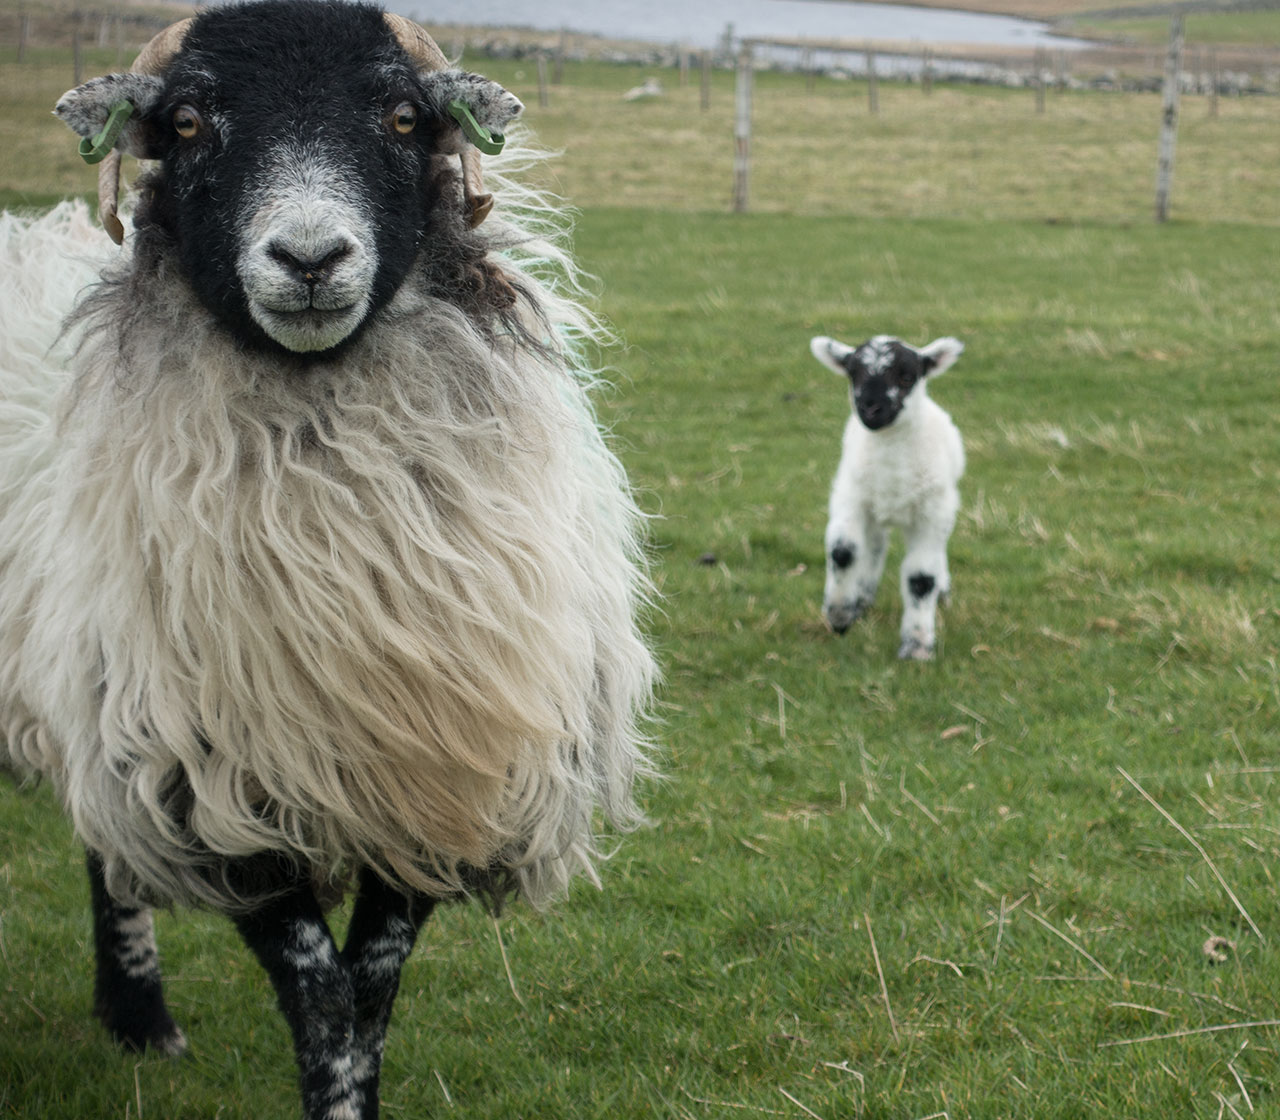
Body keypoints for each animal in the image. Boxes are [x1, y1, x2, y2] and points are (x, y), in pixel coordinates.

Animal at [0, 4, 655, 1116]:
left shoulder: (434, 779)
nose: (310, 257)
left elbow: (371, 990)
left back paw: (139, 1023)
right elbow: (321, 996)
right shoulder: (218, 787)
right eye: (184, 122)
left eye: (401, 116)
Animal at [814, 337, 962, 660]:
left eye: (907, 377)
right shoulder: (850, 497)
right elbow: (843, 552)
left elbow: (921, 577)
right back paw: (862, 597)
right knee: (874, 546)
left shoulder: (930, 514)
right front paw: (839, 616)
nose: (871, 408)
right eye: (853, 374)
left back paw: (943, 592)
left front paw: (917, 646)